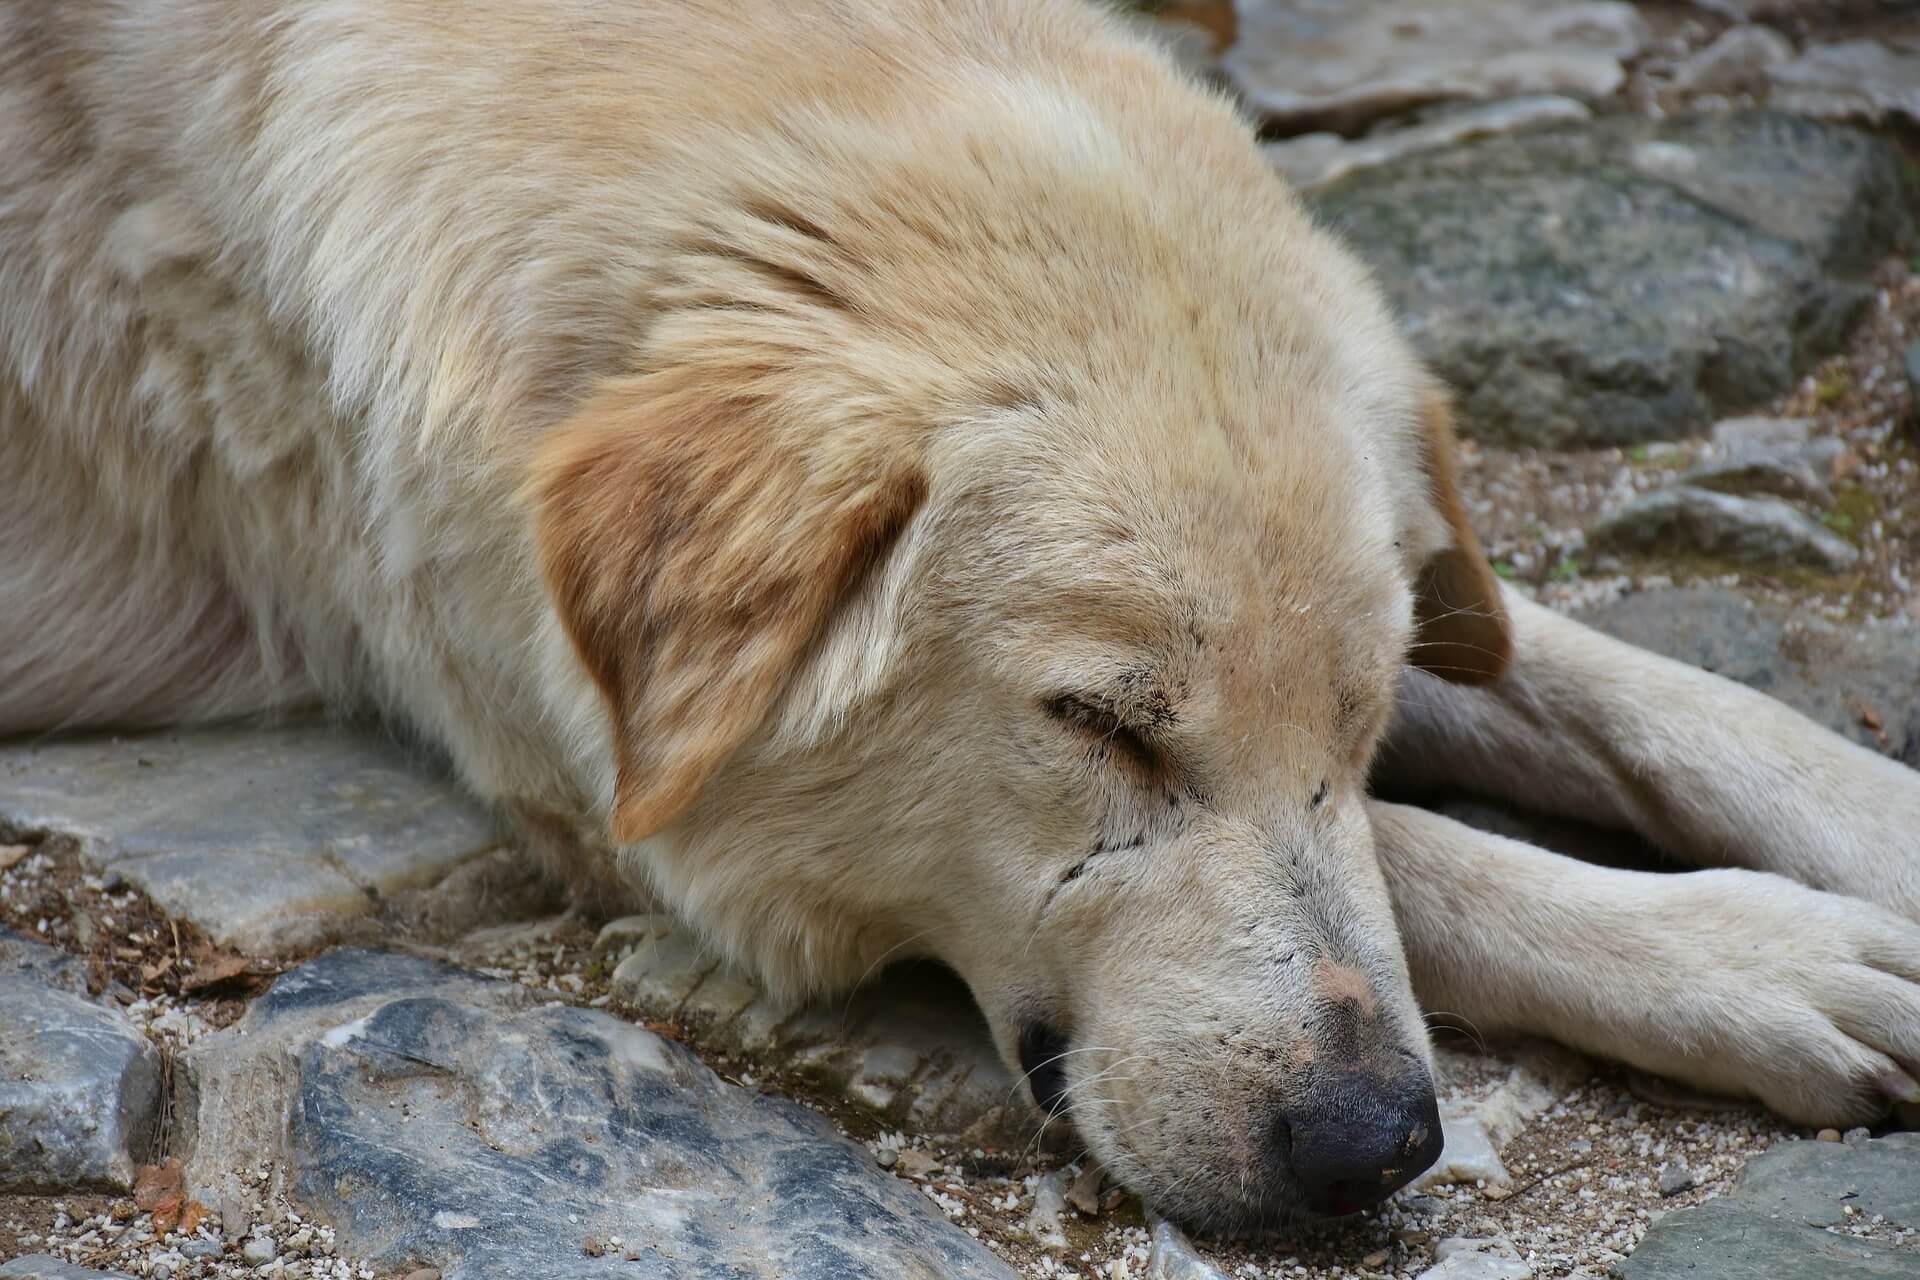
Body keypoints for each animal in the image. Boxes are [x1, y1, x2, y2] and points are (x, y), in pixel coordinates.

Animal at [3, 0, 1920, 1235]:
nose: (1381, 1147)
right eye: (1099, 725)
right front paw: (1754, 958)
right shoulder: (566, 766)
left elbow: (1634, 693)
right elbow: (1450, 870)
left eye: (1366, 719)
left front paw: (1869, 838)